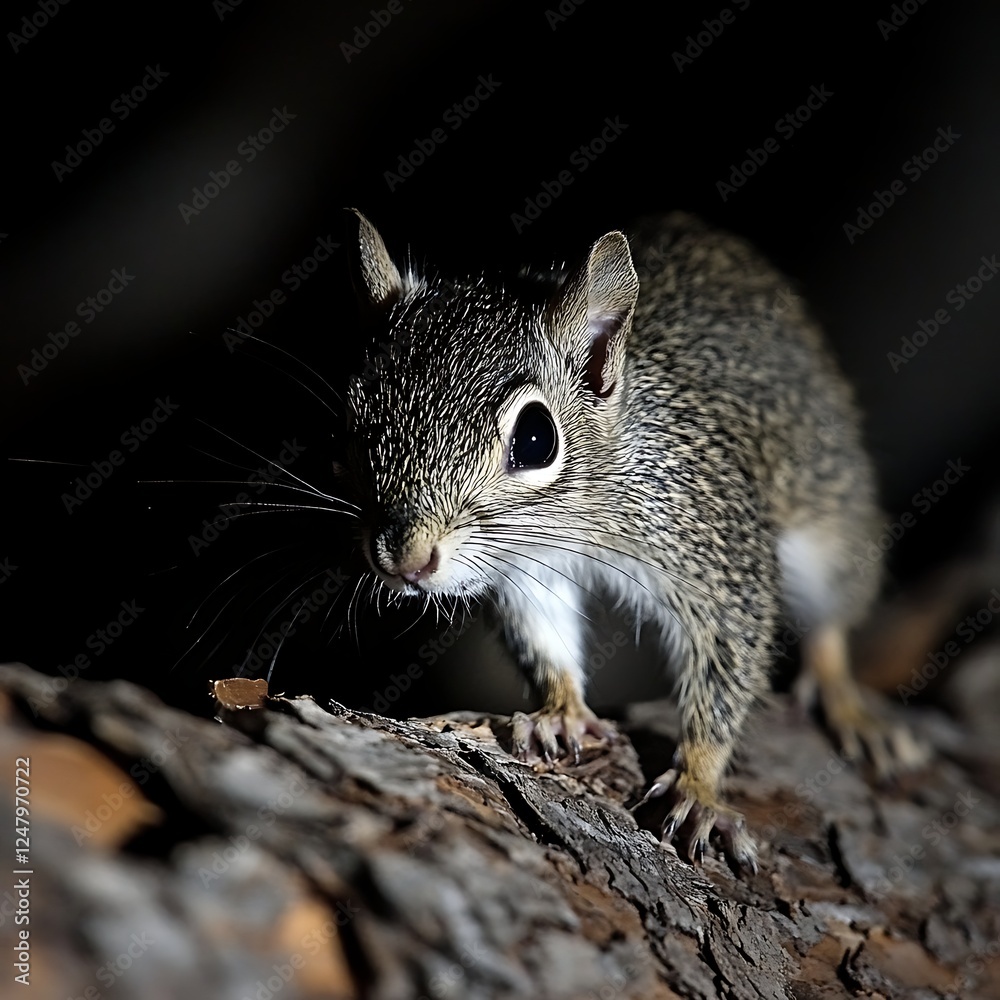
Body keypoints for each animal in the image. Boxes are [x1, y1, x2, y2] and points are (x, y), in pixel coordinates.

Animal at [340, 208, 926, 869]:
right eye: (352, 421)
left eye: (536, 439)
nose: (406, 560)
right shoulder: (526, 568)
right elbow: (542, 633)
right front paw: (560, 712)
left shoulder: (712, 537)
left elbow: (729, 652)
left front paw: (698, 784)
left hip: (831, 517)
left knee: (831, 620)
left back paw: (847, 701)